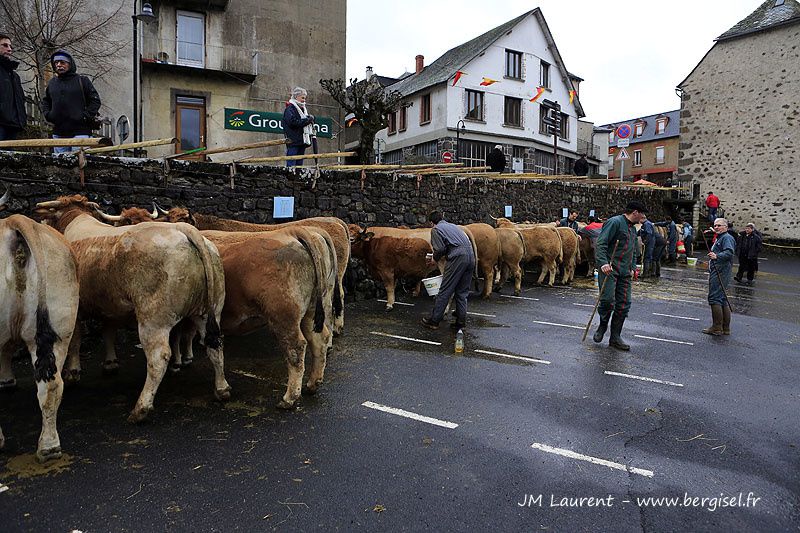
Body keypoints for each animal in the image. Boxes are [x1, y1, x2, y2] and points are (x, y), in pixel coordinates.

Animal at [34, 193, 228, 422]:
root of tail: (184, 229)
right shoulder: (109, 305)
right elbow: (108, 331)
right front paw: (110, 363)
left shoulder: (75, 307)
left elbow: (76, 339)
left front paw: (73, 373)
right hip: (209, 311)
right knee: (215, 345)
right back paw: (222, 389)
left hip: (153, 319)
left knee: (159, 357)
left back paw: (141, 408)